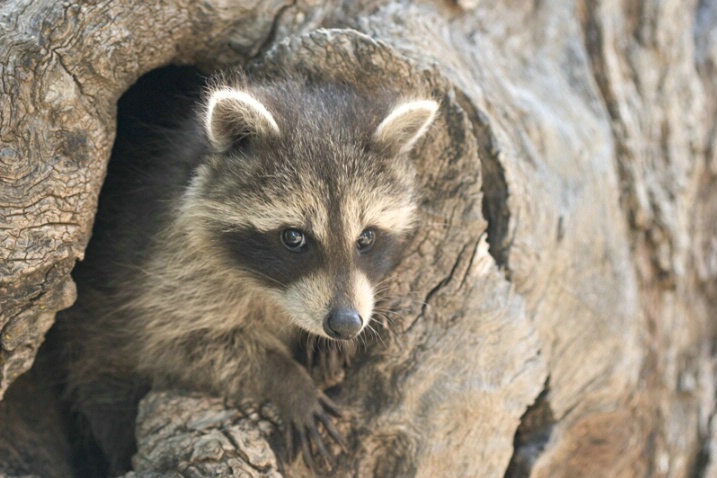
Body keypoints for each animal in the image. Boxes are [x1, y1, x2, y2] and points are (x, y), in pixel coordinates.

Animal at [64, 70, 436, 474]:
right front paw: (287, 380)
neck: (274, 294)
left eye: (366, 238)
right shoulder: (163, 268)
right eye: (294, 237)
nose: (345, 323)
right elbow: (181, 343)